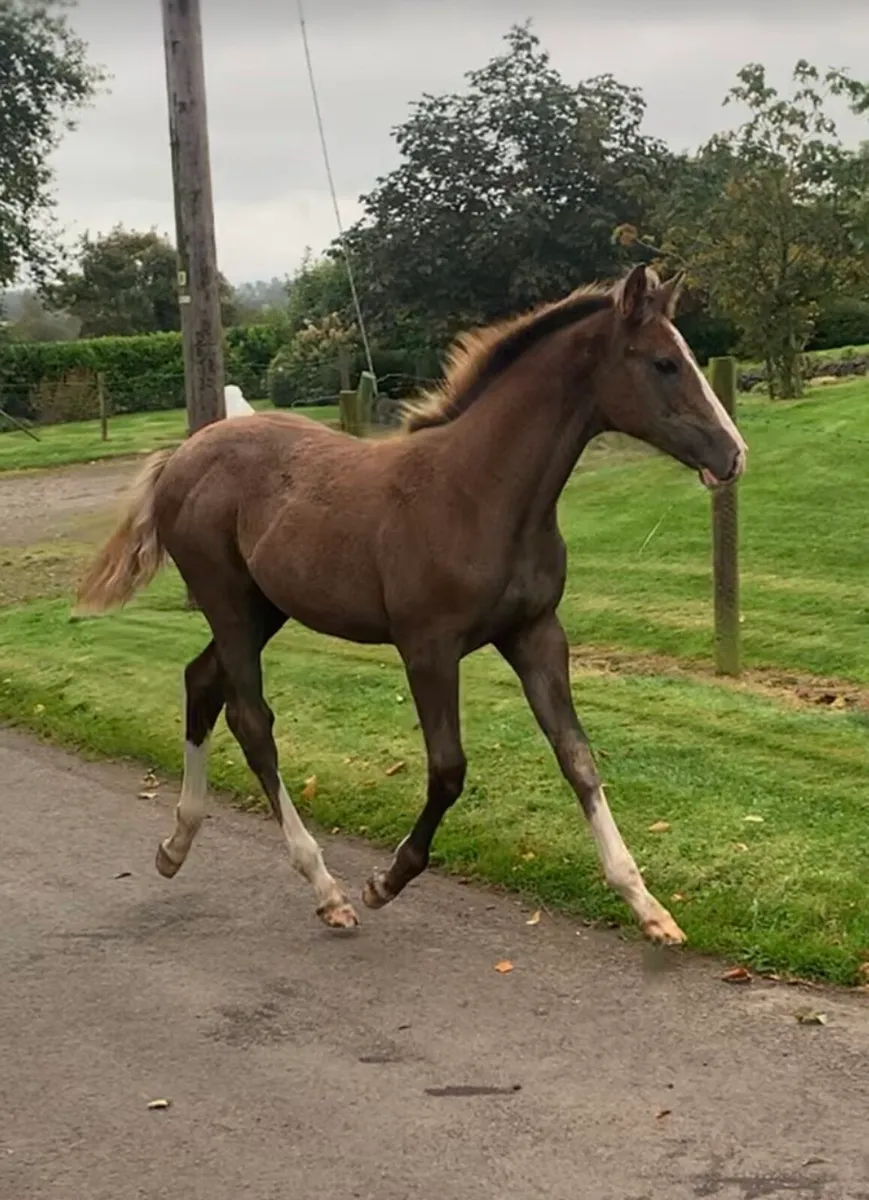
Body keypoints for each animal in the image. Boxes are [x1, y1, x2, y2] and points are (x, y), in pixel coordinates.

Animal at [75, 264, 746, 945]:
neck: (479, 491)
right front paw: (385, 881)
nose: (732, 455)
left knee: (201, 682)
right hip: (228, 602)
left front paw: (648, 906)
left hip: (265, 609)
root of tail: (182, 455)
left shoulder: (535, 633)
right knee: (251, 721)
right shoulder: (428, 648)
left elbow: (577, 756)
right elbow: (448, 769)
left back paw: (176, 845)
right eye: (664, 362)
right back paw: (327, 890)